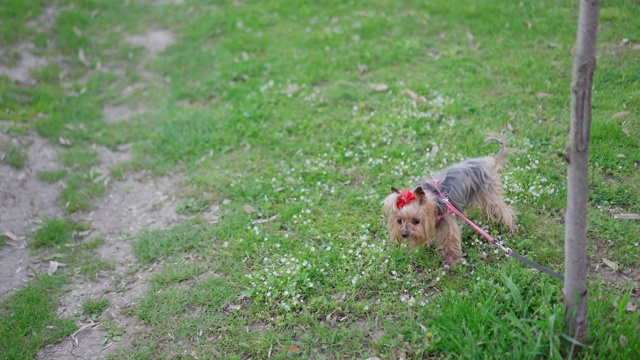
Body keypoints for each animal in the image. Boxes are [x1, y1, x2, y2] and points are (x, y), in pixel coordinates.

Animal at [382, 136, 516, 266]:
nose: (404, 234)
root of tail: (488, 161)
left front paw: (452, 261)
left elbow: (450, 240)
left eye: (416, 221)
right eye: (399, 221)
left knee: (504, 210)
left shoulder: (446, 222)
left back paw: (511, 228)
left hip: (489, 193)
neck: (433, 201)